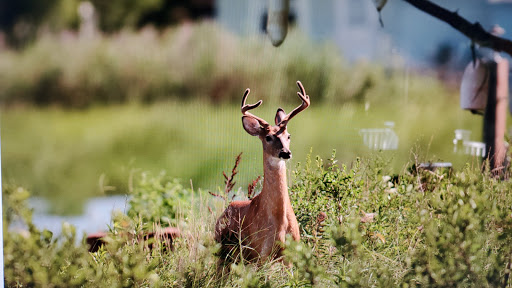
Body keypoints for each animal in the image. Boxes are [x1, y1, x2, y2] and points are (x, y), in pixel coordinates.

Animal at [214, 80, 310, 264]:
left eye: (288, 135)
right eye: (268, 137)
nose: (285, 153)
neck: (280, 222)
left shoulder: (290, 254)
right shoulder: (261, 252)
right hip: (222, 249)